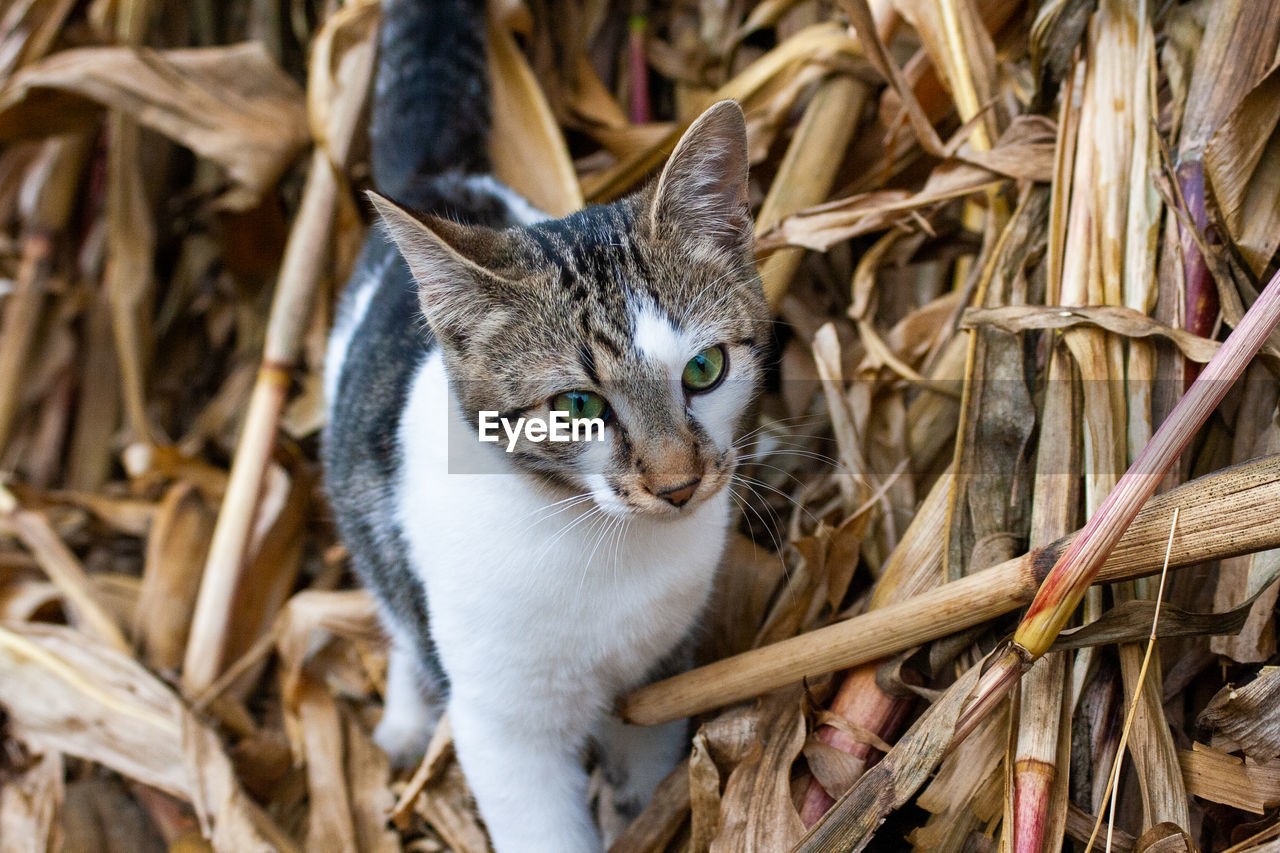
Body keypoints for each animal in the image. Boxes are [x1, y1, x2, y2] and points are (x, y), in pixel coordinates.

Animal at [325, 0, 768, 845]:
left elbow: (640, 781)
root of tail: (442, 178)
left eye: (704, 370)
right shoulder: (503, 726)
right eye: (579, 407)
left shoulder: (657, 678)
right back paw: (404, 718)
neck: (598, 543)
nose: (678, 483)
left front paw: (638, 820)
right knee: (396, 606)